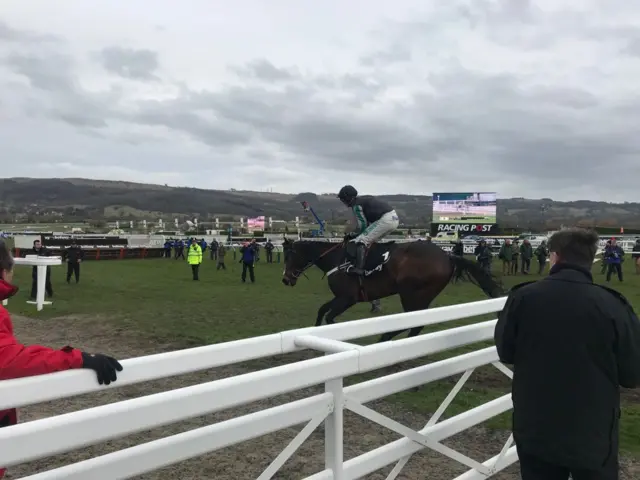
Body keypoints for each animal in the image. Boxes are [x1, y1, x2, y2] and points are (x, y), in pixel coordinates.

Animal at [282, 237, 502, 342]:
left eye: (289, 256)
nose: (285, 279)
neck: (338, 260)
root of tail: (447, 256)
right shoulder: (340, 297)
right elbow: (322, 311)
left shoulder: (347, 298)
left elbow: (329, 317)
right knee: (415, 324)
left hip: (412, 294)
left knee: (413, 323)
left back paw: (387, 339)